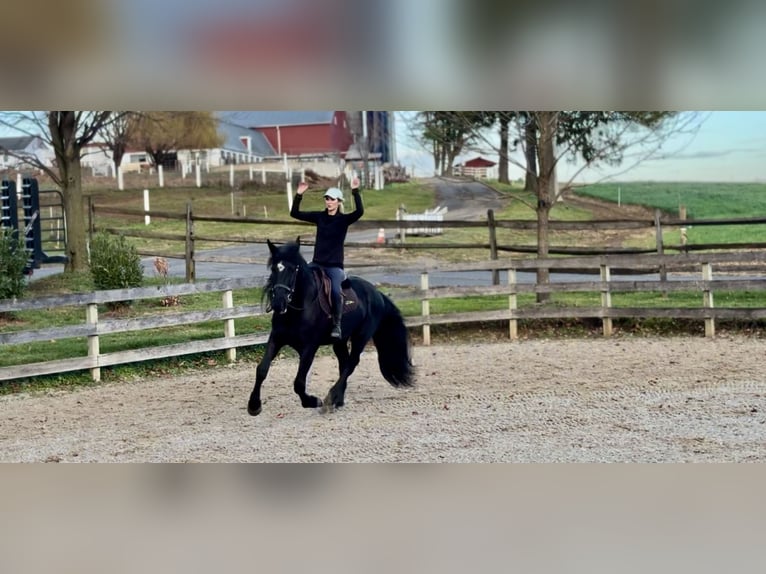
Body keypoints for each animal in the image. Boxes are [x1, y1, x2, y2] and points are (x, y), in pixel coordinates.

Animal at [247, 238, 415, 416]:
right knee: (344, 363)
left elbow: (299, 382)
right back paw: (338, 400)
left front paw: (312, 401)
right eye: (274, 268)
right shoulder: (276, 339)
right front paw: (254, 405)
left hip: (361, 337)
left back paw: (330, 398)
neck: (300, 309)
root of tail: (377, 293)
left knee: (352, 363)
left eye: (293, 270)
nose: (278, 303)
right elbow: (261, 370)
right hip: (340, 341)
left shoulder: (309, 347)